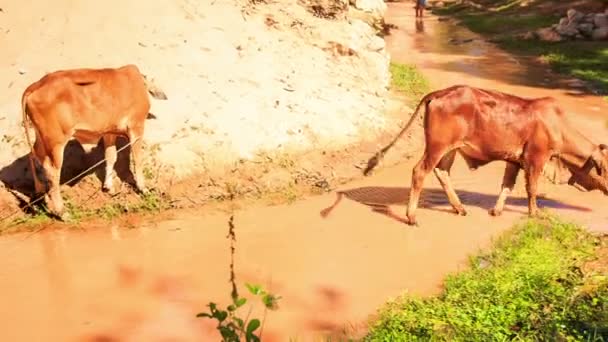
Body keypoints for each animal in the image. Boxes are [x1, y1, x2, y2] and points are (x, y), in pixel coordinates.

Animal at [364, 84, 604, 226]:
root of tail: (438, 93)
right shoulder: (536, 158)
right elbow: (532, 188)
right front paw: (534, 213)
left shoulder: (514, 160)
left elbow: (507, 185)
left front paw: (497, 211)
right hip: (437, 146)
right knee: (420, 172)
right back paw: (412, 216)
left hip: (450, 149)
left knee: (442, 172)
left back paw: (459, 208)